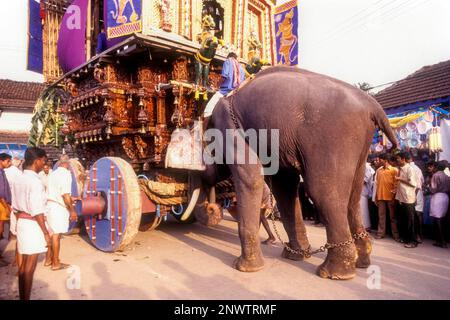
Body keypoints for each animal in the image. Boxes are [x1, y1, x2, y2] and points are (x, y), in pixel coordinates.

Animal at [199, 65, 400, 280]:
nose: (210, 208)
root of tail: (372, 105)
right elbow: (284, 187)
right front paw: (296, 255)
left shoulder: (228, 125)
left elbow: (251, 176)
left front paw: (244, 267)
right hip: (359, 146)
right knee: (353, 196)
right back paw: (361, 261)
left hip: (332, 138)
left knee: (322, 191)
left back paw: (333, 273)